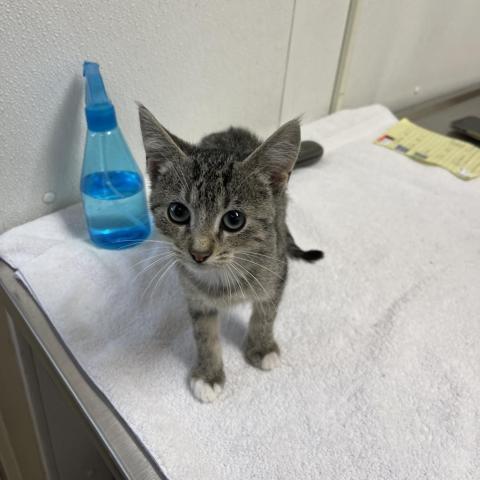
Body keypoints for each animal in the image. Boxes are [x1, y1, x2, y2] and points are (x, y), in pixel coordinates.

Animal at [138, 105, 322, 402]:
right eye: (177, 212)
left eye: (234, 219)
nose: (198, 253)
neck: (223, 277)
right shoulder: (194, 293)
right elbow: (204, 334)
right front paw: (209, 374)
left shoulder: (276, 270)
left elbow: (266, 313)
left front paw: (261, 347)